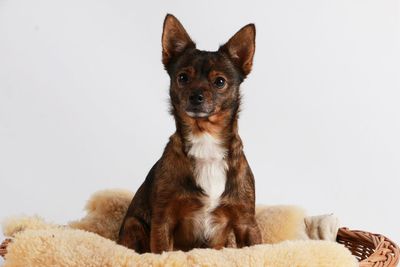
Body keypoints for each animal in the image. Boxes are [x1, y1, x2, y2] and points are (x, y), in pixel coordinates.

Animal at [118, 13, 262, 254]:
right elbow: (162, 252)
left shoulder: (246, 222)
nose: (196, 95)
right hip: (133, 224)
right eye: (183, 78)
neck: (206, 141)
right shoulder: (163, 220)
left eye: (220, 82)